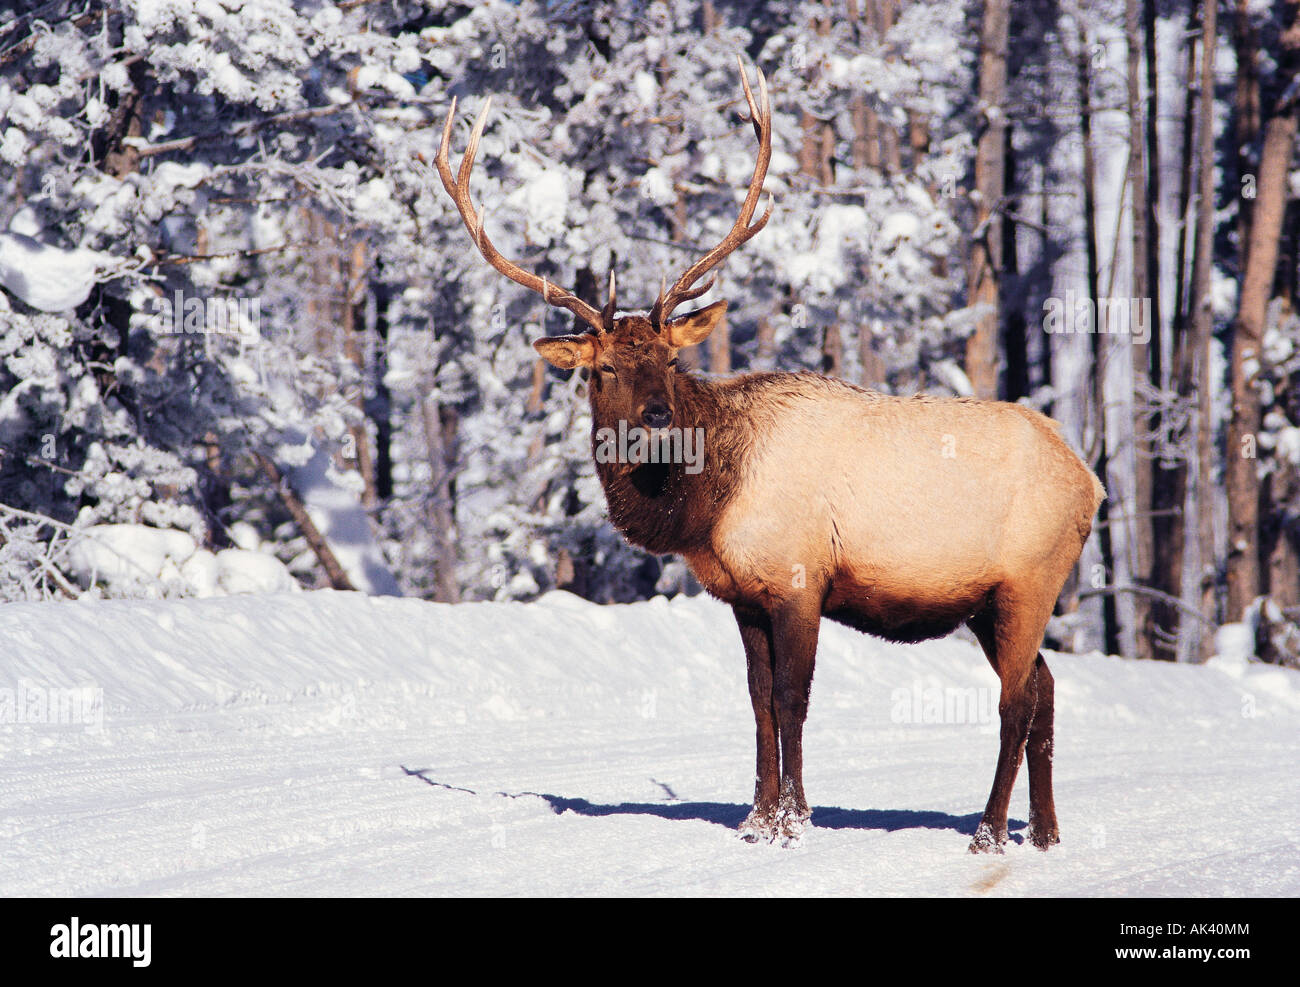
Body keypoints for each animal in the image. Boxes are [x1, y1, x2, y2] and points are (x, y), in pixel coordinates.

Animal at [434, 57, 1106, 853]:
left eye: (668, 360)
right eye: (602, 370)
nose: (657, 417)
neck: (706, 507)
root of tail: (1090, 479)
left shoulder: (799, 577)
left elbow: (792, 699)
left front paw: (794, 820)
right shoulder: (741, 594)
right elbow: (757, 699)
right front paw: (754, 818)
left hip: (1029, 578)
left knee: (1015, 700)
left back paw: (990, 831)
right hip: (990, 600)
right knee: (1046, 687)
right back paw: (1047, 832)